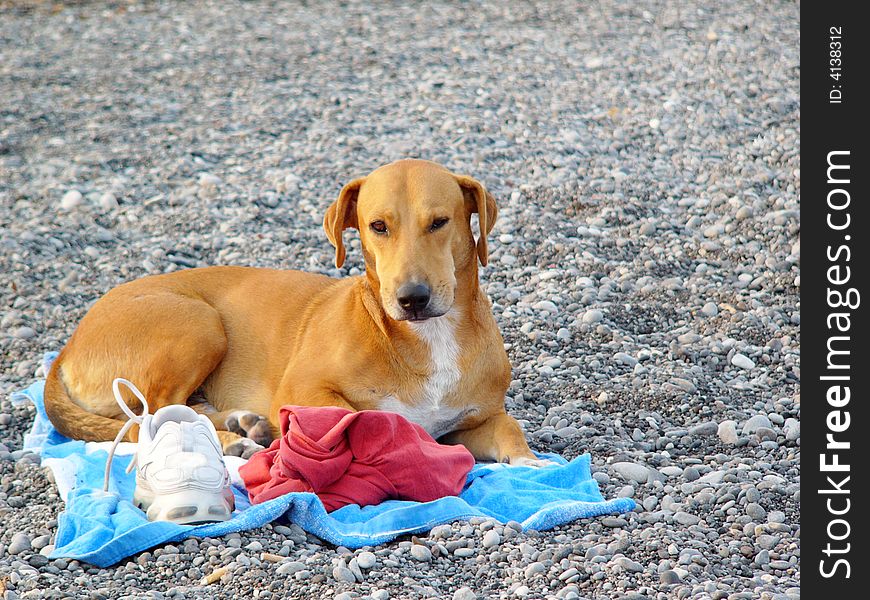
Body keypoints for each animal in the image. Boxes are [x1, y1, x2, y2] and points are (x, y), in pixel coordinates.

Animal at [44, 158, 548, 464]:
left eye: (440, 221)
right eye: (377, 226)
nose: (413, 298)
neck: (430, 338)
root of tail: (67, 348)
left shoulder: (476, 419)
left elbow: (511, 430)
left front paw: (531, 466)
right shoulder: (304, 387)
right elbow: (365, 415)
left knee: (180, 412)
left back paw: (246, 425)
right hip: (198, 324)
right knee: (149, 420)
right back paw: (239, 440)